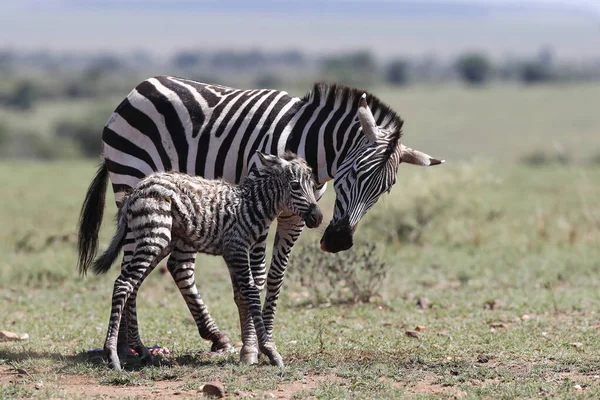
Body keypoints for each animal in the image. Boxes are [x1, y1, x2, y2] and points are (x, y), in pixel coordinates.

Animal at [85, 152, 324, 370]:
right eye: (295, 185)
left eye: (313, 185)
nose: (318, 217)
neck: (252, 205)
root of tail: (136, 189)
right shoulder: (236, 247)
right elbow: (251, 293)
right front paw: (270, 351)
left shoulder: (232, 252)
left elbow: (242, 294)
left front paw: (251, 350)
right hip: (153, 236)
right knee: (123, 284)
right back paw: (112, 355)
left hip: (159, 242)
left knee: (132, 286)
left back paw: (141, 350)